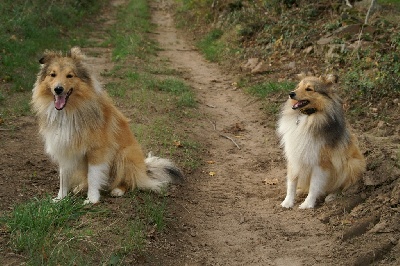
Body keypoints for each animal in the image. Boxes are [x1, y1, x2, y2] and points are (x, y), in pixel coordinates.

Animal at [32, 47, 183, 204]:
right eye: (52, 74)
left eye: (70, 75)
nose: (58, 89)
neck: (69, 111)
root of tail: (144, 167)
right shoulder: (63, 146)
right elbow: (64, 176)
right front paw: (60, 198)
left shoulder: (97, 150)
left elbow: (93, 176)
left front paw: (91, 200)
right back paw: (80, 187)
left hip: (124, 155)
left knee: (130, 181)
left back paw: (117, 190)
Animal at [278, 74, 366, 209]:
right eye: (298, 86)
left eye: (309, 89)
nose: (291, 93)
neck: (308, 116)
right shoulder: (294, 156)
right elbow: (292, 181)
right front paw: (287, 202)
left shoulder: (321, 162)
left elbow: (314, 185)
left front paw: (307, 204)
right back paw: (300, 191)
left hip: (351, 164)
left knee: (342, 186)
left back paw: (332, 196)